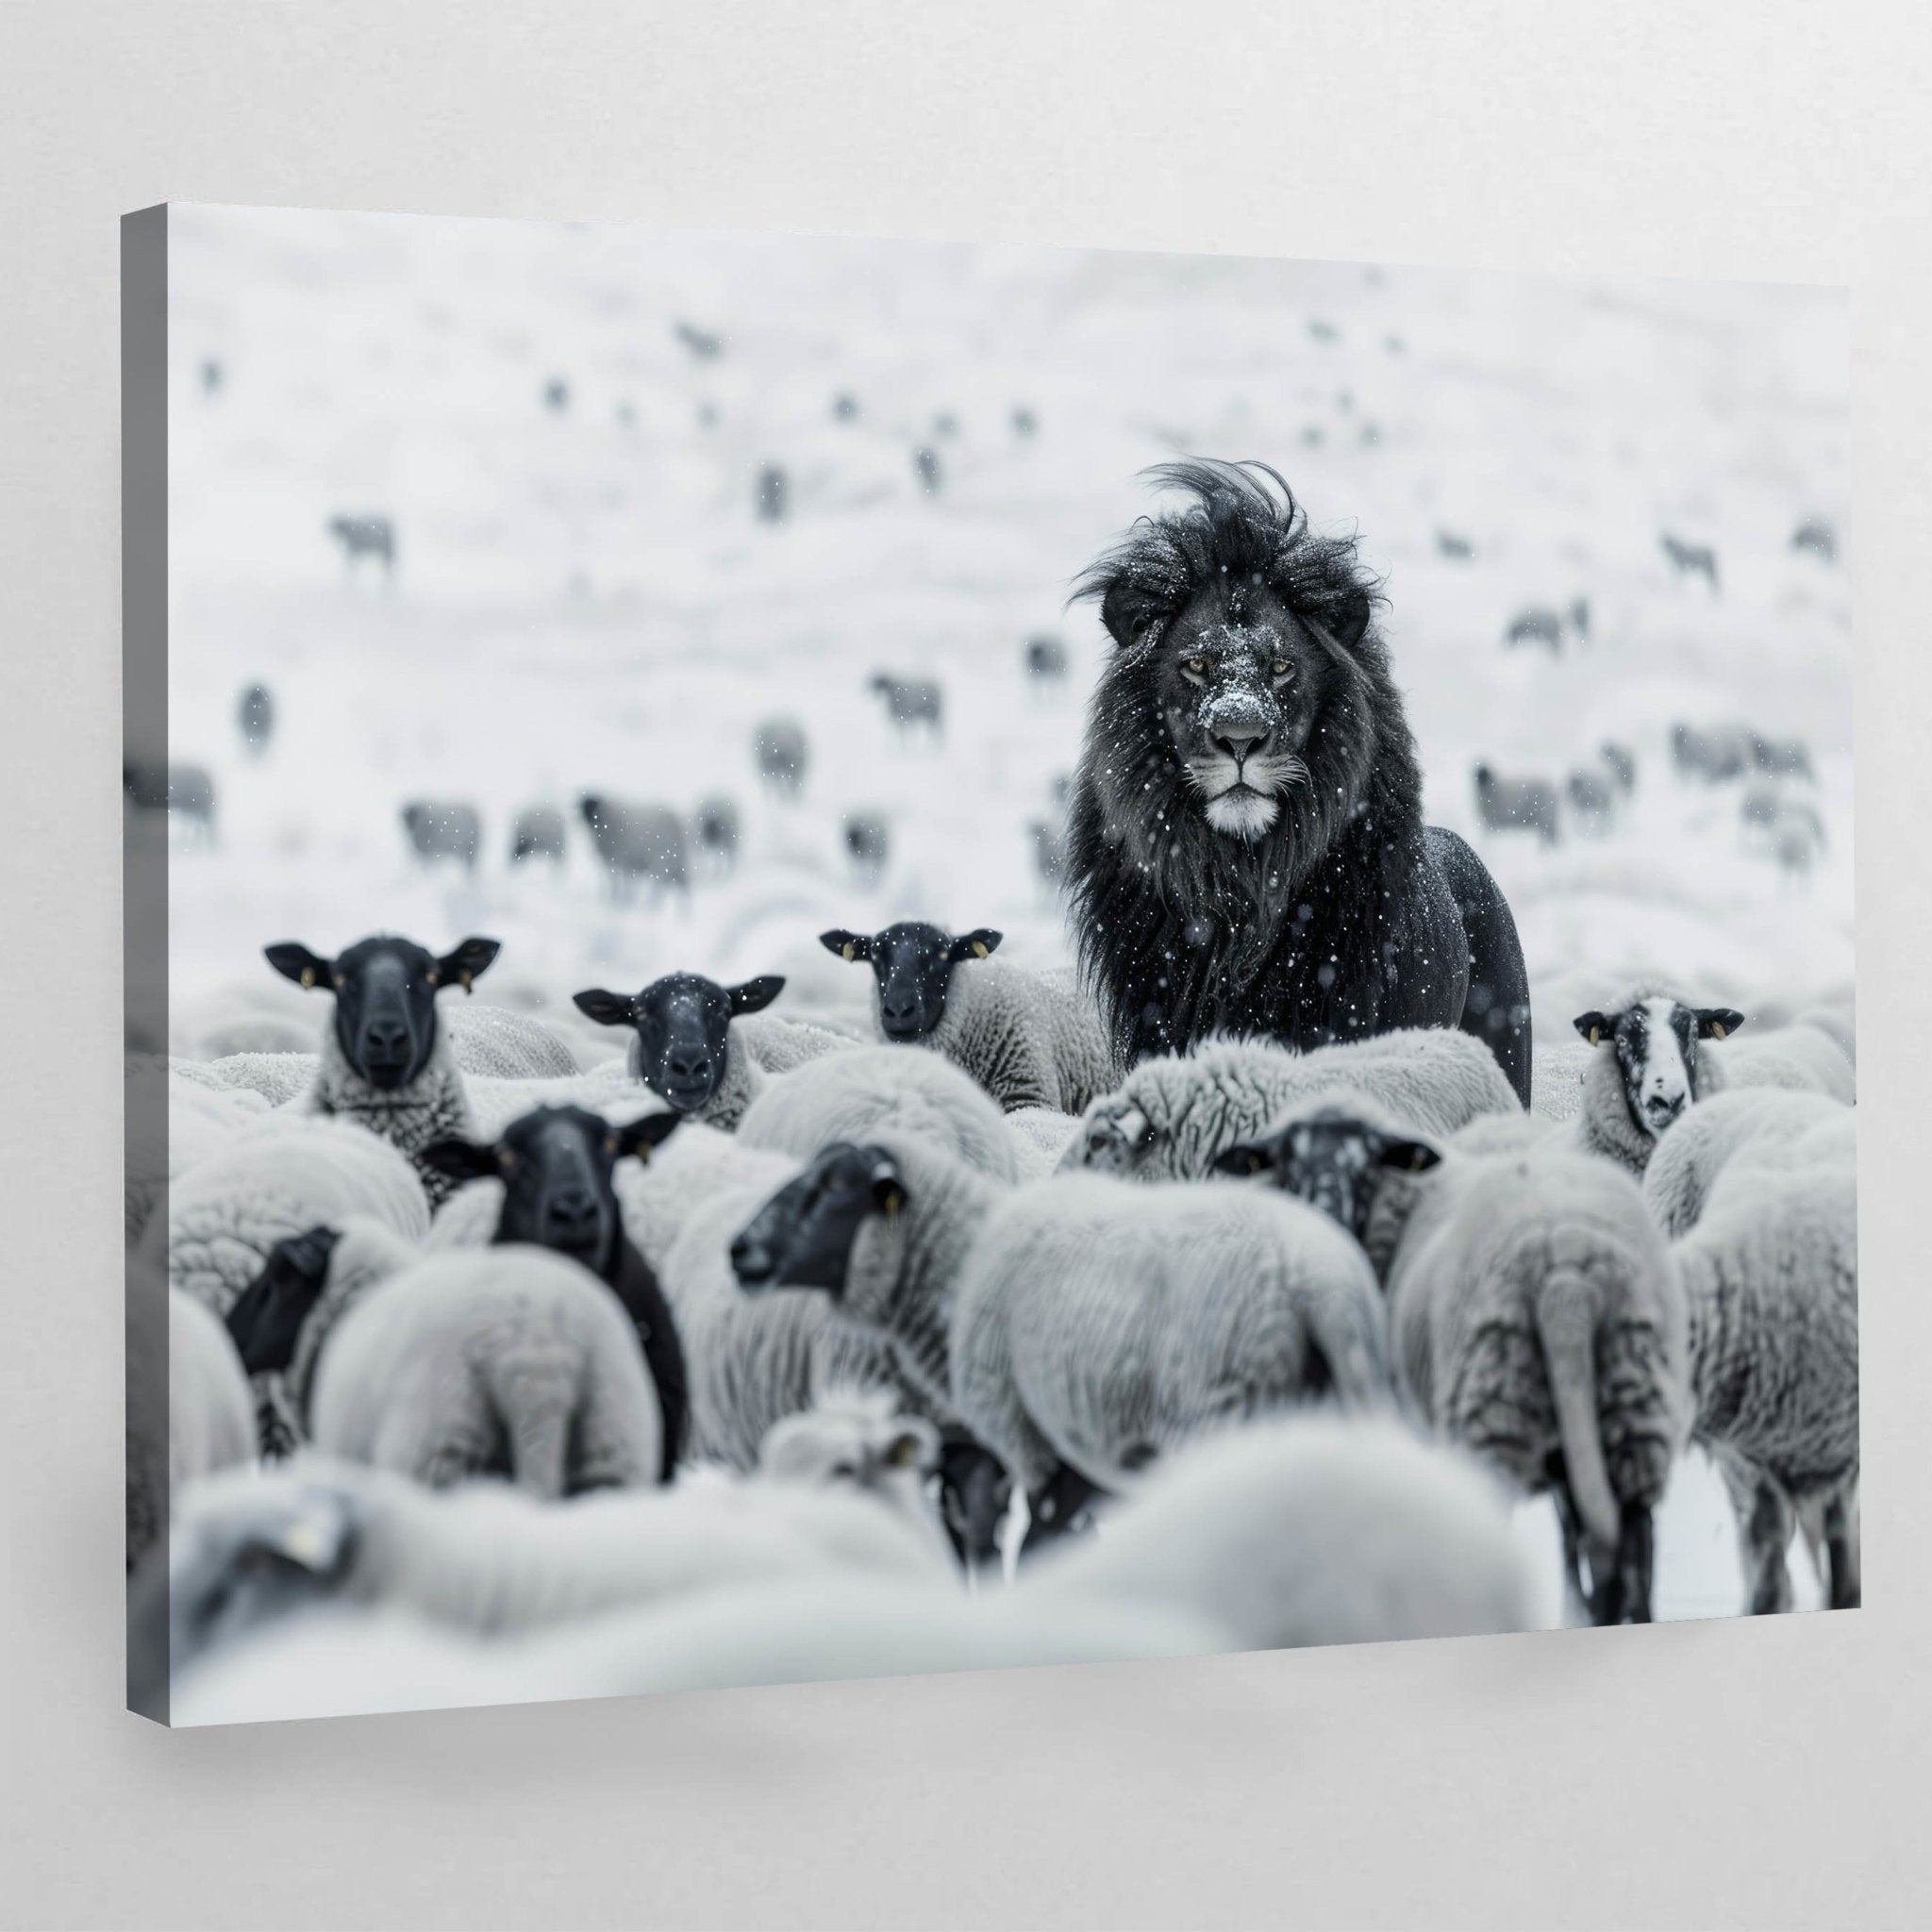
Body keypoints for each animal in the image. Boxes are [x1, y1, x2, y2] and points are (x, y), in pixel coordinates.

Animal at [732, 1132, 1390, 1551]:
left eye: (834, 1186)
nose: (738, 1249)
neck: (961, 1264)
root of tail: (1315, 1279)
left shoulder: (1029, 1445)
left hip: (1220, 1419)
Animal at [1216, 1101, 1689, 1623]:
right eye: (1286, 1162)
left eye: (1367, 1163)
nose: (1325, 1216)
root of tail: (1565, 1281)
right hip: (1630, 1410)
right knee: (1632, 1568)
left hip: (1491, 1413)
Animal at [1668, 1116, 1859, 1611]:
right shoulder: (1752, 1463)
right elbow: (1768, 1542)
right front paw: (1768, 1602)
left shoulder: (1843, 1454)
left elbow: (1841, 1538)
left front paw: (1846, 1596)